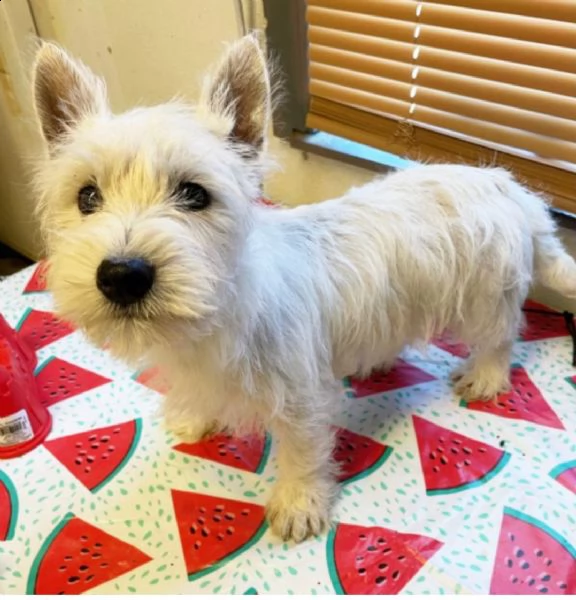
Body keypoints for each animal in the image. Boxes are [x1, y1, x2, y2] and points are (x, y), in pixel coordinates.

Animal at [32, 36, 576, 544]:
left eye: (193, 194)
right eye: (87, 197)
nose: (122, 275)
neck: (219, 314)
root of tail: (511, 188)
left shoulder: (301, 397)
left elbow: (301, 449)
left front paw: (299, 503)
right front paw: (196, 419)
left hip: (485, 297)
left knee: (500, 336)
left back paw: (485, 377)